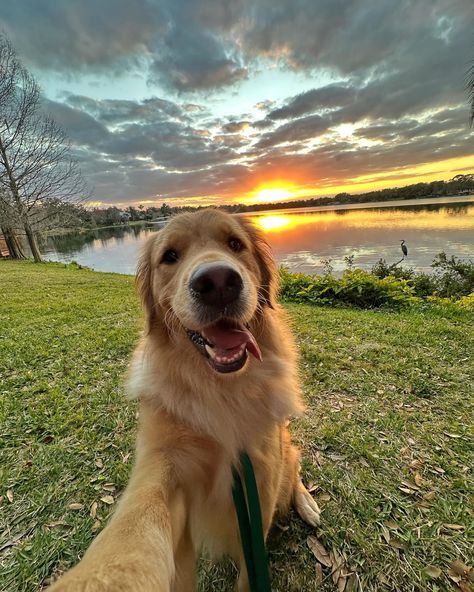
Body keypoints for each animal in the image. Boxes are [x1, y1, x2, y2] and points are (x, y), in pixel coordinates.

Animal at [48, 210, 320, 588]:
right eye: (170, 256)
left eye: (235, 244)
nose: (218, 282)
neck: (220, 389)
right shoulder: (166, 465)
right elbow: (137, 522)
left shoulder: (263, 476)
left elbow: (250, 568)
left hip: (285, 449)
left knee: (294, 472)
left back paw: (308, 504)